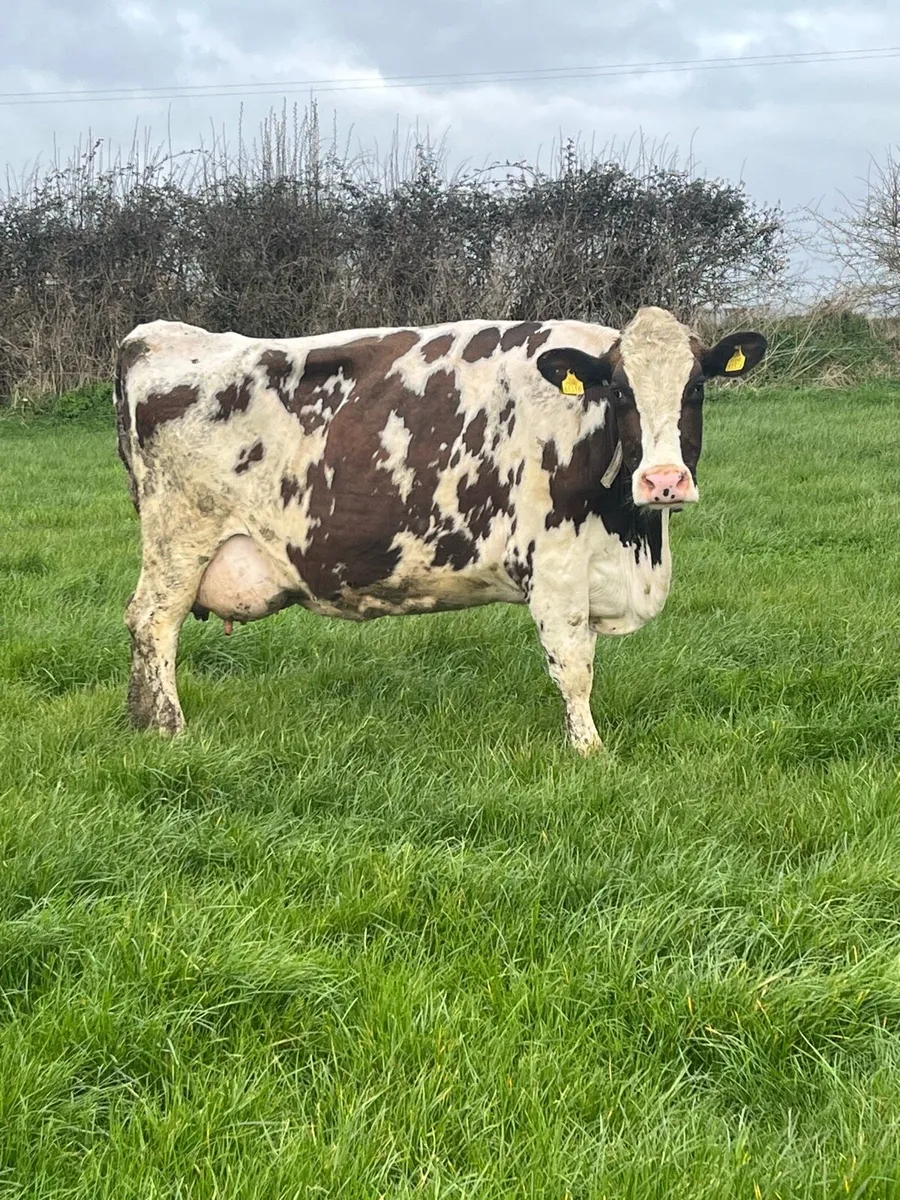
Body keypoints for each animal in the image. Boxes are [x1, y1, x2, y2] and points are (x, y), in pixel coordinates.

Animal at [114, 308, 767, 753]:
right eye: (621, 390)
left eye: (696, 388)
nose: (664, 481)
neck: (636, 539)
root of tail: (157, 336)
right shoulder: (554, 567)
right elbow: (574, 666)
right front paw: (590, 751)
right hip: (181, 537)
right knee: (153, 621)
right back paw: (168, 727)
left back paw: (140, 723)